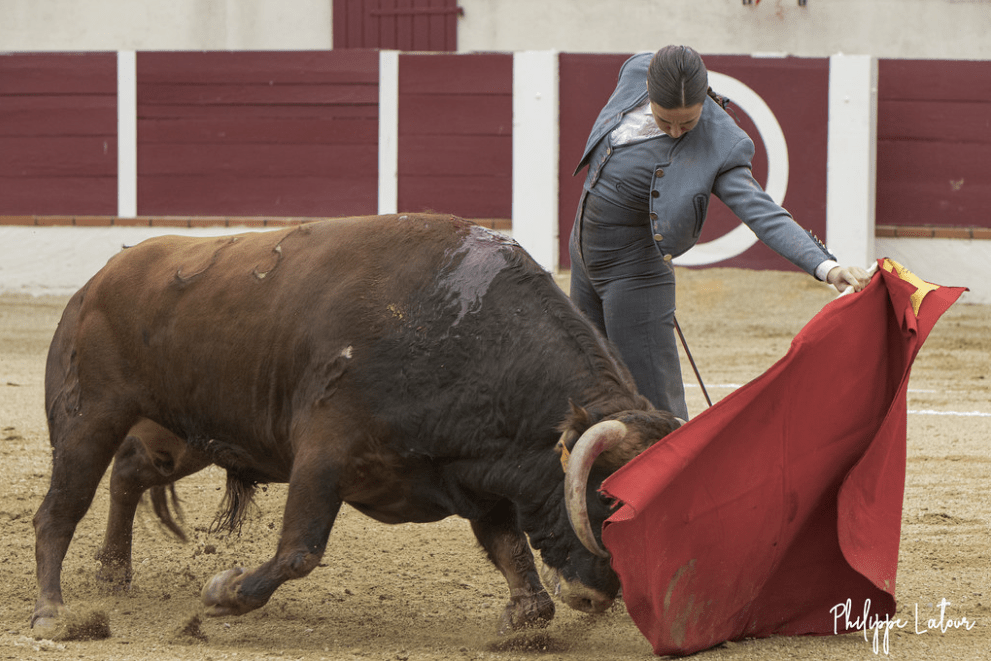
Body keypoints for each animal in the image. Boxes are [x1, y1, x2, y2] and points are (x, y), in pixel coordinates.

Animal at [33, 214, 681, 638]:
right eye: (605, 497)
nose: (599, 596)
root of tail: (99, 280)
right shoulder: (324, 453)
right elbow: (299, 551)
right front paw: (222, 592)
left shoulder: (473, 475)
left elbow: (513, 560)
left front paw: (521, 616)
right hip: (91, 415)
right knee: (60, 509)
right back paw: (51, 613)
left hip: (184, 434)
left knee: (129, 472)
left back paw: (113, 574)